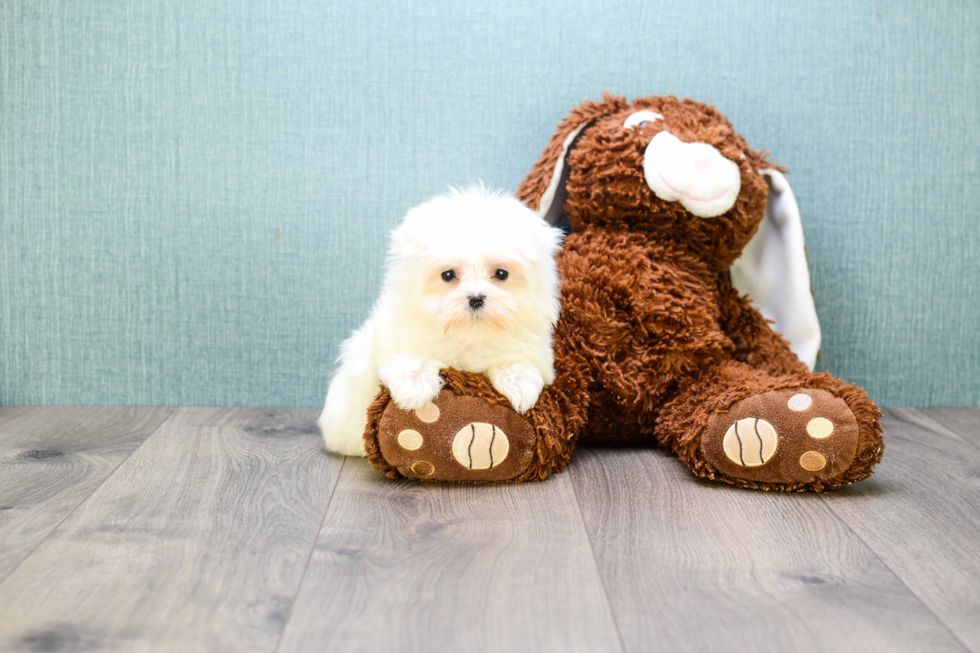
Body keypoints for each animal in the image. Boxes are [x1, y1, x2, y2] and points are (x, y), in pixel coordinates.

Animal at [320, 186, 564, 456]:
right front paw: (415, 385)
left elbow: (518, 361)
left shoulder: (532, 348)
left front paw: (518, 384)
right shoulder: (394, 337)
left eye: (501, 273)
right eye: (448, 275)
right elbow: (404, 356)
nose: (476, 298)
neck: (470, 333)